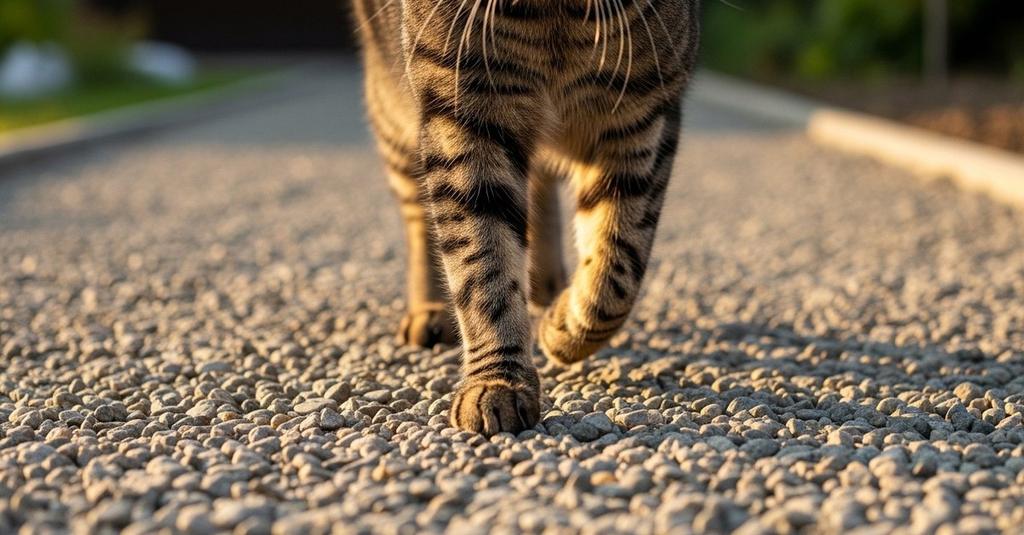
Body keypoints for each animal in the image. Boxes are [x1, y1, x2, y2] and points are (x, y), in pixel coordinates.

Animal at [352, 0, 700, 435]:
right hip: (390, 105)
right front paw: (497, 381)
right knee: (419, 218)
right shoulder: (463, 111)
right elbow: (484, 263)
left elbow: (618, 268)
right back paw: (430, 309)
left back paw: (547, 287)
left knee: (542, 188)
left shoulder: (643, 114)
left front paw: (561, 328)